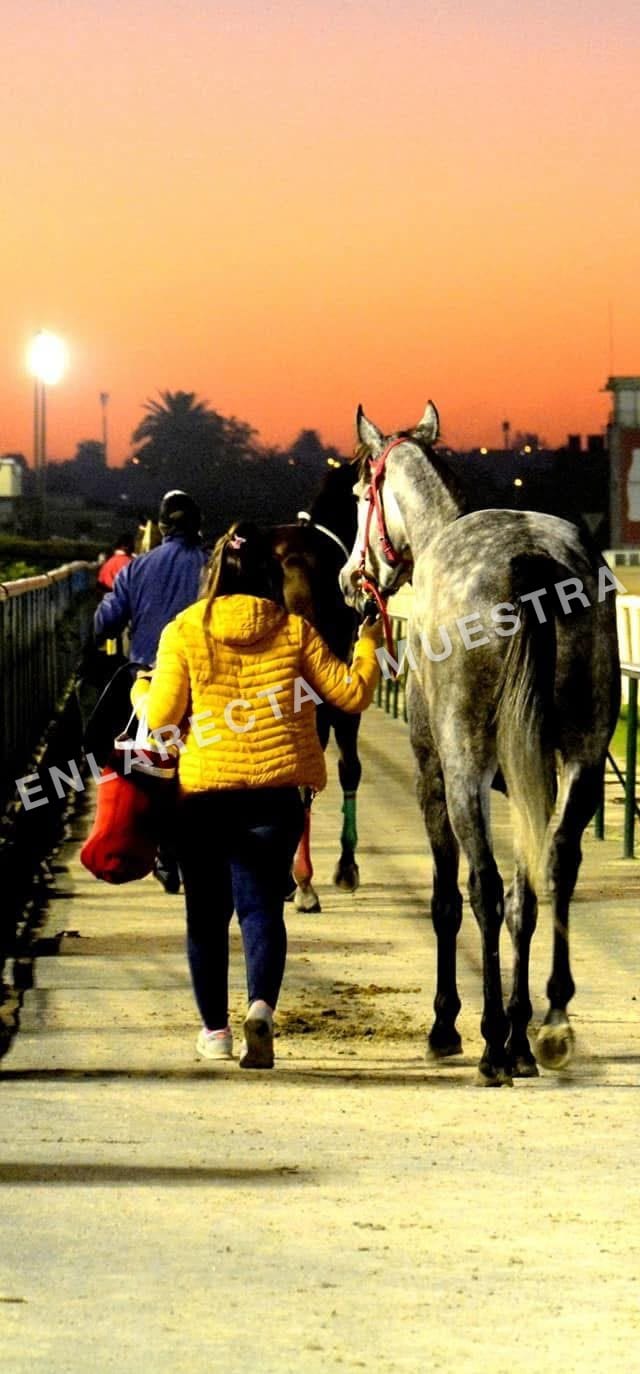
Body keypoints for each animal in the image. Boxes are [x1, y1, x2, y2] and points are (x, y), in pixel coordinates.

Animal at [339, 401, 620, 1085]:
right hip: (581, 759)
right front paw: (522, 1033)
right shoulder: (530, 776)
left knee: (484, 889)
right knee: (553, 869)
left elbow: (451, 897)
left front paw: (452, 1027)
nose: (349, 581)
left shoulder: (434, 774)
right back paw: (550, 1024)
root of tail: (529, 562)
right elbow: (527, 897)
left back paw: (492, 1044)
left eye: (360, 495)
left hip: (465, 761)